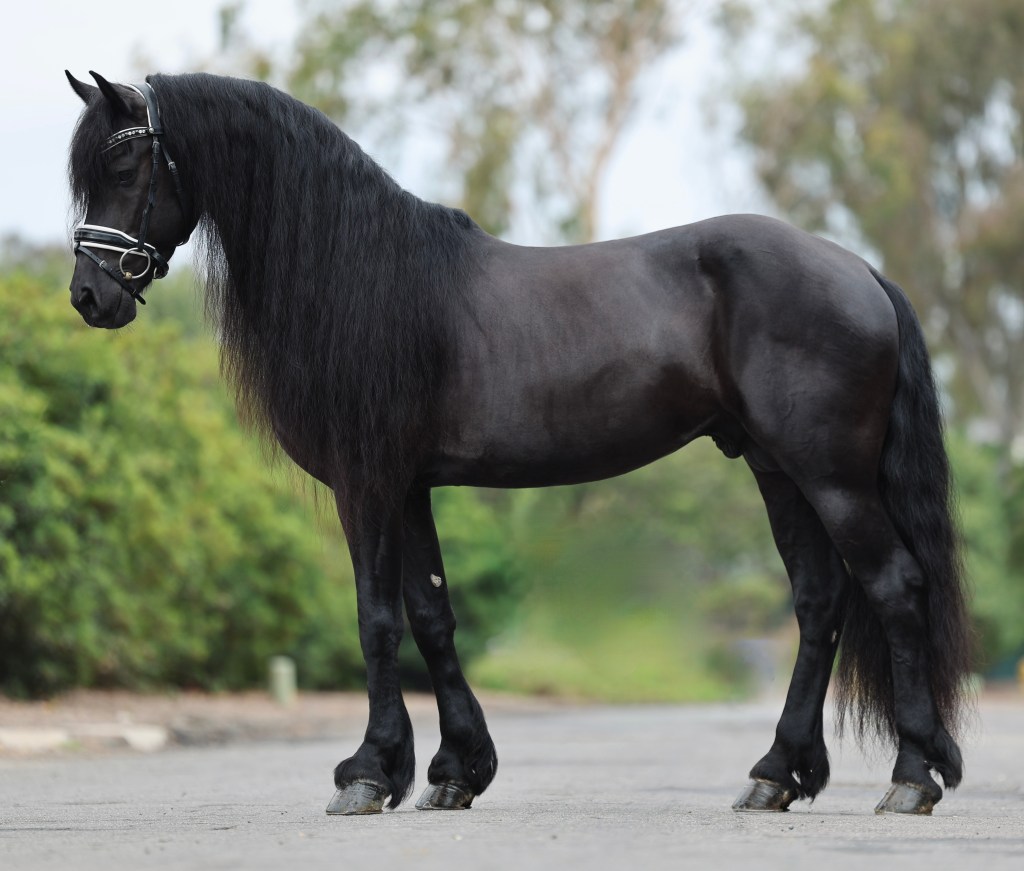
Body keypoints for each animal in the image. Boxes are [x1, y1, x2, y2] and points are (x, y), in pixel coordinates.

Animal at [64, 70, 972, 816]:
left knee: (893, 585)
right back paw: (776, 774)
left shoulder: (366, 481)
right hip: (777, 467)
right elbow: (432, 614)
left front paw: (369, 771)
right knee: (820, 600)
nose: (88, 297)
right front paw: (455, 771)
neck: (364, 274)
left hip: (832, 474)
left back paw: (911, 778)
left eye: (123, 164)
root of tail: (858, 270)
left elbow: (375, 618)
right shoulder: (408, 484)